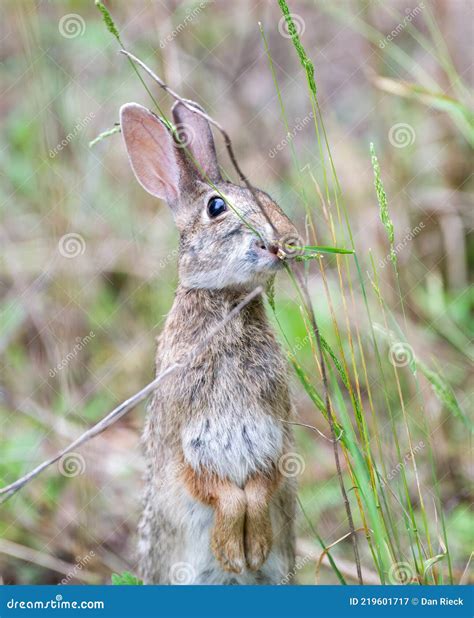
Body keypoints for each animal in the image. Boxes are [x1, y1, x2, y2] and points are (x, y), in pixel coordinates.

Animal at [120, 100, 298, 584]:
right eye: (216, 207)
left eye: (266, 195)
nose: (284, 239)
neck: (225, 304)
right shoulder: (183, 436)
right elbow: (217, 491)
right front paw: (234, 552)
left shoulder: (276, 426)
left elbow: (261, 484)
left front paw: (252, 548)